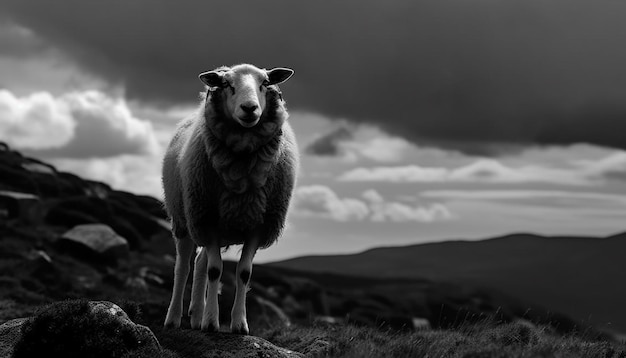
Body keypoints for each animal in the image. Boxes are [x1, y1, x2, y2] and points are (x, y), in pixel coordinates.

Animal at [161, 63, 298, 334]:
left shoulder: (258, 225)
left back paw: (196, 315)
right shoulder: (206, 219)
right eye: (226, 84)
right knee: (183, 266)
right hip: (184, 220)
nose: (250, 108)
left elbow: (243, 273)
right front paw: (212, 322)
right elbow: (215, 270)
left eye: (265, 83)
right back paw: (174, 318)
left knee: (201, 261)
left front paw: (239, 324)